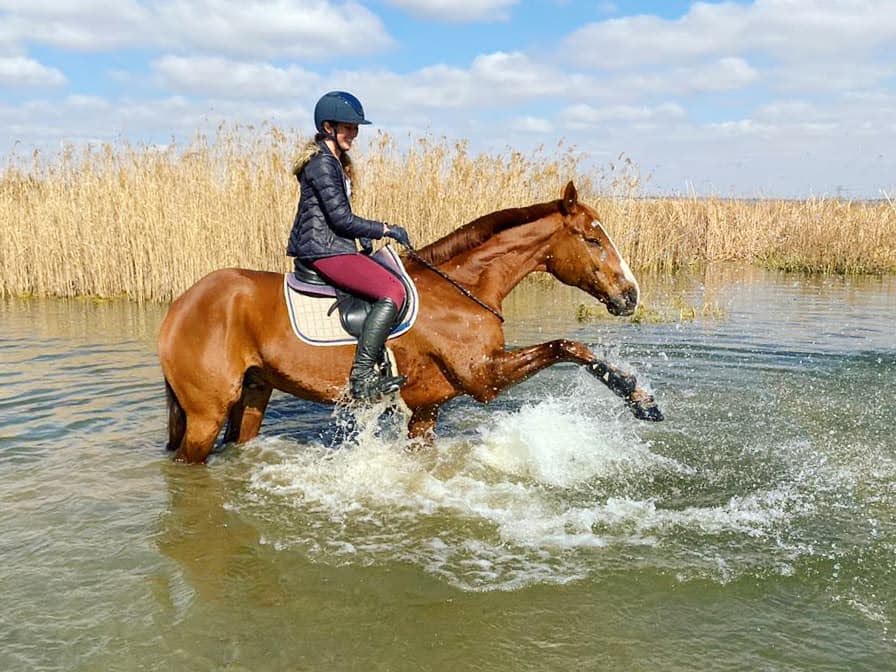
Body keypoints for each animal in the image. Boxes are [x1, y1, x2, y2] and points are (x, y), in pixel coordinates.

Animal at [158, 181, 660, 464]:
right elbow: (566, 346)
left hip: (253, 395)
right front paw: (639, 398)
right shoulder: (485, 378)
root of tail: (180, 305)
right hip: (205, 414)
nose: (631, 295)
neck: (462, 288)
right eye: (593, 240)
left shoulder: (426, 410)